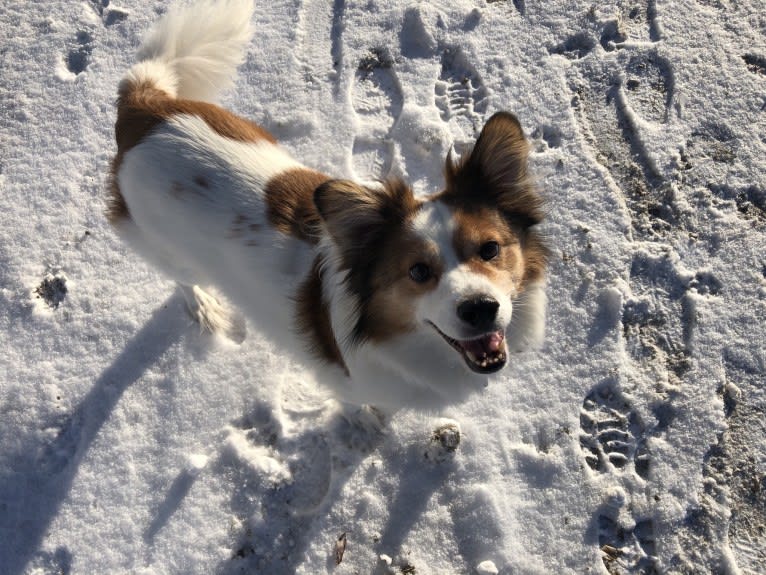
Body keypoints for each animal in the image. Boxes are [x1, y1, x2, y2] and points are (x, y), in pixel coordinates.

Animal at [109, 0, 552, 414]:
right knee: (182, 277)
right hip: (161, 243)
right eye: (418, 272)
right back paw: (204, 306)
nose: (480, 309)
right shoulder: (351, 385)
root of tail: (144, 110)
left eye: (490, 249)